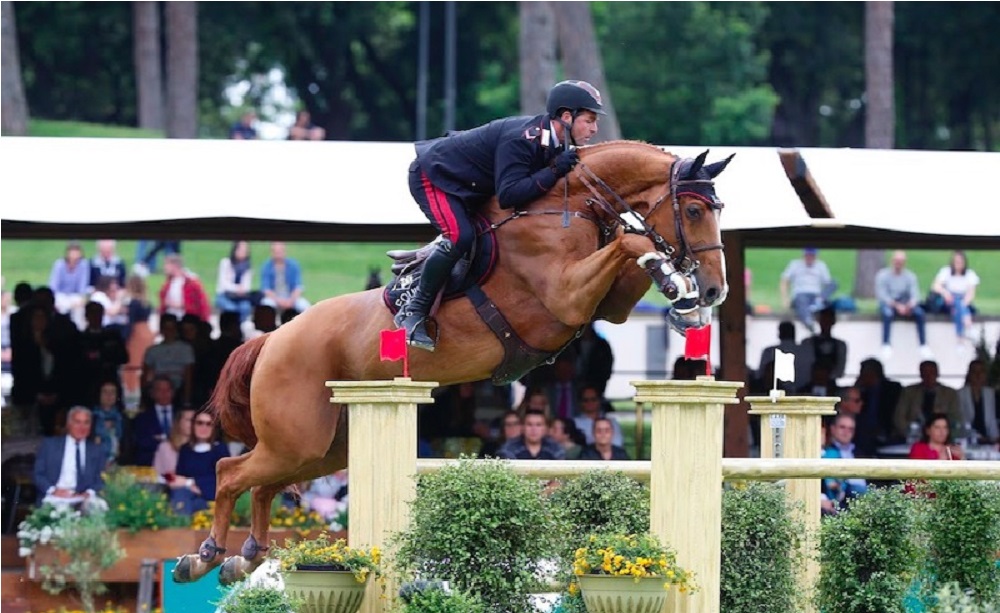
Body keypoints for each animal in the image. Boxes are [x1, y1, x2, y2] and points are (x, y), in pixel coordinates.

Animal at [174, 140, 736, 584]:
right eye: (693, 212)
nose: (714, 288)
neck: (569, 206)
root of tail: (271, 339)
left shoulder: (606, 307)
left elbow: (630, 251)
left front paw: (683, 303)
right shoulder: (565, 296)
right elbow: (631, 240)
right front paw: (680, 290)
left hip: (323, 447)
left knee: (263, 483)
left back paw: (244, 558)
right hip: (298, 437)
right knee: (230, 471)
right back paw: (204, 557)